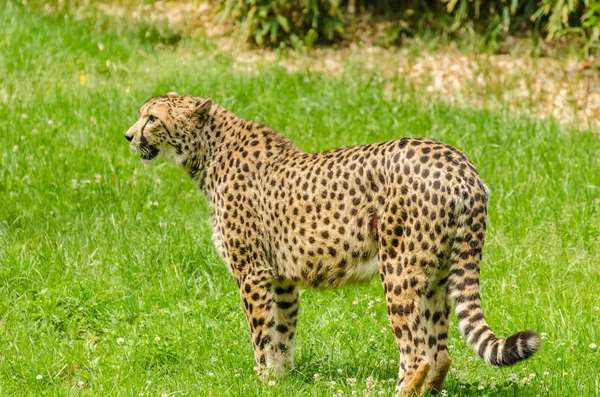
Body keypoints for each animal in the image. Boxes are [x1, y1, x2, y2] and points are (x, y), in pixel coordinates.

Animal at [125, 94, 540, 394]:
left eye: (152, 118)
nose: (128, 135)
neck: (209, 152)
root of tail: (459, 162)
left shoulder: (252, 273)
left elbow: (261, 335)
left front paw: (262, 381)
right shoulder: (282, 279)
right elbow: (282, 333)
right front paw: (281, 381)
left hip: (398, 267)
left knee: (417, 354)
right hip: (437, 273)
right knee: (441, 354)